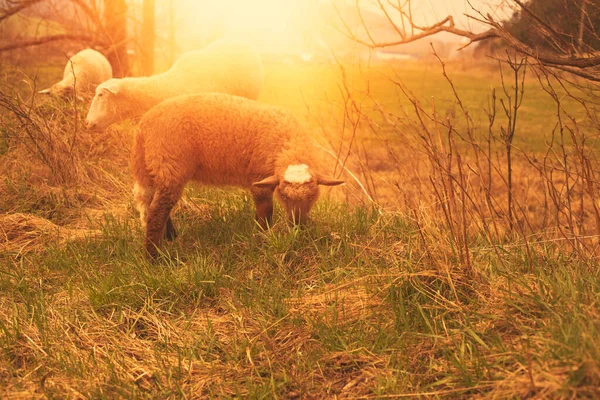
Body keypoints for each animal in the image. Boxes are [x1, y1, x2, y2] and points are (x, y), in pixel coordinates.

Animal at [132, 92, 344, 258]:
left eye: (313, 196)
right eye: (283, 196)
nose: (297, 225)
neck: (287, 144)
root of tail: (143, 126)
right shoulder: (259, 177)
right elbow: (265, 210)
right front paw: (263, 236)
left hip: (155, 170)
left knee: (156, 206)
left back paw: (170, 237)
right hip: (169, 164)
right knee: (156, 212)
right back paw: (155, 258)